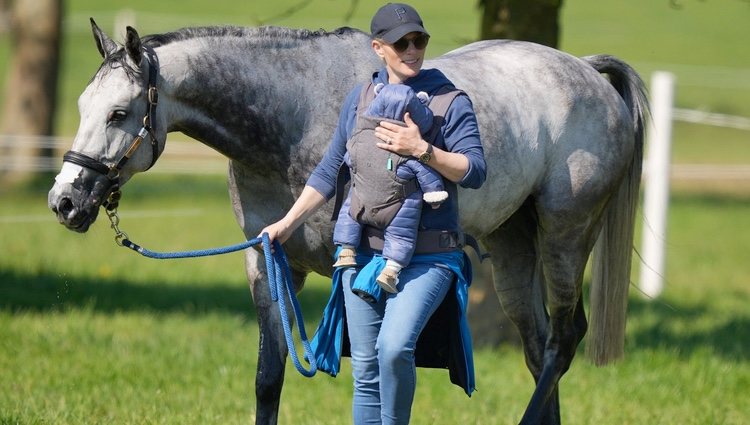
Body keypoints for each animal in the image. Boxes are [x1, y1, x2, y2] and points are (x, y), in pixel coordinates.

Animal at [47, 20, 648, 424]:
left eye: (119, 113)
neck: (293, 115)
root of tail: (587, 72)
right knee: (539, 347)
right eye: (81, 106)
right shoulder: (266, 263)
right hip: (512, 245)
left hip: (566, 235)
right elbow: (269, 379)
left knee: (563, 341)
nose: (65, 202)